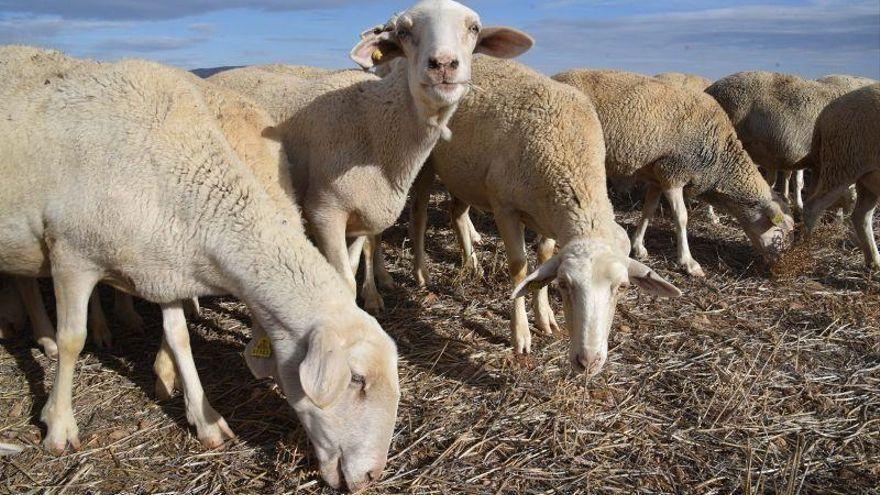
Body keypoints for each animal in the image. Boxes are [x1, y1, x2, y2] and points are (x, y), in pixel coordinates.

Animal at [0, 45, 398, 492]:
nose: (372, 475)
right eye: (357, 380)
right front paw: (59, 426)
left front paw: (205, 420)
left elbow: (180, 339)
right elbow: (73, 340)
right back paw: (49, 337)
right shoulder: (71, 255)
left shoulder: (165, 265)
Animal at [209, 0, 532, 312]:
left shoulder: (361, 215)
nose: (443, 64)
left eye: (474, 28)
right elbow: (342, 281)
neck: (374, 120)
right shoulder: (325, 211)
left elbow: (353, 269)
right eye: (403, 32)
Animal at [410, 57, 684, 376]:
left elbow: (543, 260)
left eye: (622, 287)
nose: (588, 362)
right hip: (425, 160)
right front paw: (521, 335)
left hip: (465, 175)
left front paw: (545, 318)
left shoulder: (549, 217)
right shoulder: (505, 207)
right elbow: (519, 268)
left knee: (456, 213)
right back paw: (421, 272)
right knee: (419, 214)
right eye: (564, 285)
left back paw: (471, 263)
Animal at [796, 85, 880, 272]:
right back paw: (806, 247)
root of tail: (824, 114)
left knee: (860, 216)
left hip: (866, 177)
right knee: (812, 206)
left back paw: (874, 262)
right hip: (841, 163)